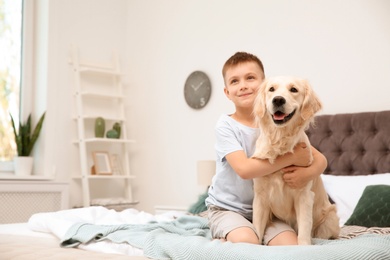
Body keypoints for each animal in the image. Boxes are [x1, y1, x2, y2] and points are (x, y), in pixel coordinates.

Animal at [251, 76, 340, 245]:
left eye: (293, 89)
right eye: (271, 89)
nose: (278, 100)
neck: (281, 143)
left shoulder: (304, 196)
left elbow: (304, 231)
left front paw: (304, 246)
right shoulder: (260, 197)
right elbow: (256, 229)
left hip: (329, 218)